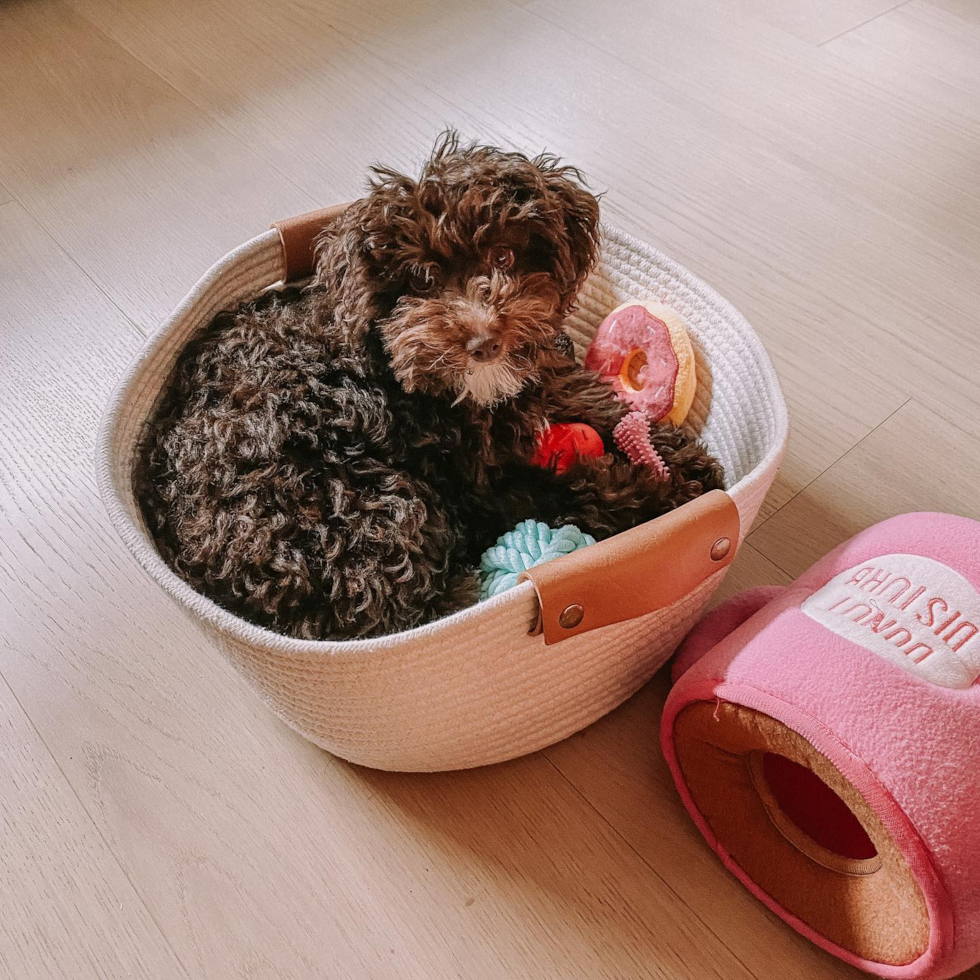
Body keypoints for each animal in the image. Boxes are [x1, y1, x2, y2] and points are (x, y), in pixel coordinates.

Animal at [136, 136, 720, 644]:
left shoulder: (538, 380)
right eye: (421, 278)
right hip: (373, 506)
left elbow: (587, 396)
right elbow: (566, 488)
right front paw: (653, 488)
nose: (485, 341)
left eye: (504, 258)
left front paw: (673, 456)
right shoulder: (475, 493)